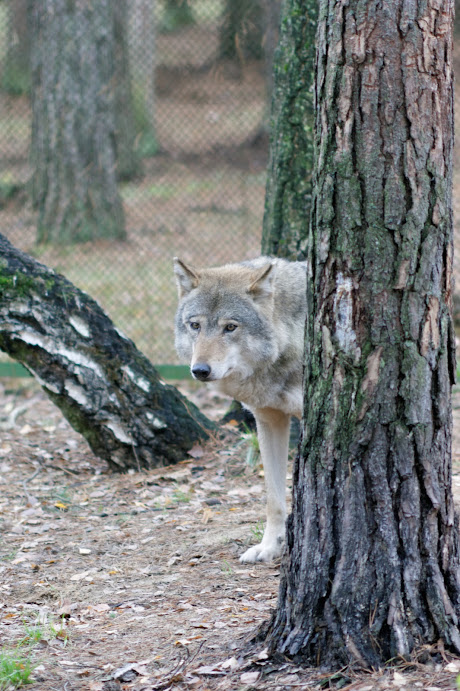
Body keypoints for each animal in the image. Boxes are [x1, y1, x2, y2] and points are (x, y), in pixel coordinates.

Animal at [174, 256, 308, 564]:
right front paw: (269, 547)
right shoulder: (269, 420)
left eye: (230, 327)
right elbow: (273, 498)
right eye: (195, 325)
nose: (200, 370)